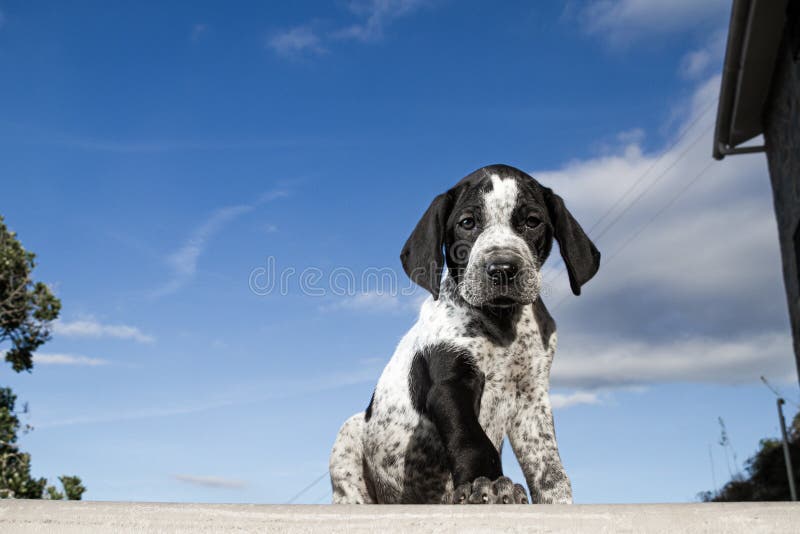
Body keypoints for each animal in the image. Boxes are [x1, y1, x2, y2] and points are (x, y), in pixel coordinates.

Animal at [328, 164, 596, 506]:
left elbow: (550, 468)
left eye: (532, 221)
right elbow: (471, 437)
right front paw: (490, 484)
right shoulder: (450, 382)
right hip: (349, 435)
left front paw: (555, 500)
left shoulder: (531, 400)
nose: (502, 269)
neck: (502, 323)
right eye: (467, 223)